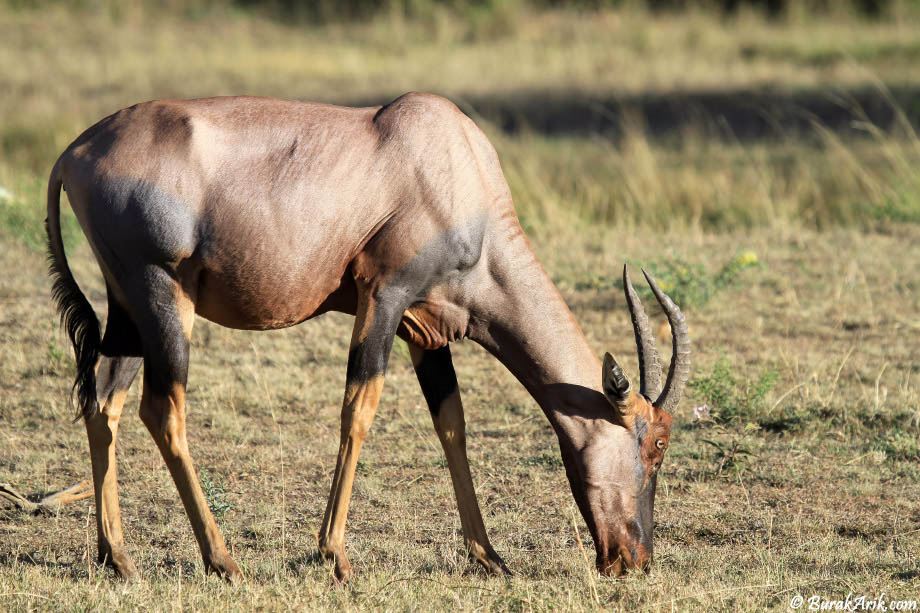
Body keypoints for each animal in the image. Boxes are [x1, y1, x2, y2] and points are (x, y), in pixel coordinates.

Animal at [46, 92, 688, 584]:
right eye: (655, 445)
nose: (633, 560)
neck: (452, 161)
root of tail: (74, 151)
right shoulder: (384, 295)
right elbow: (359, 409)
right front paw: (334, 555)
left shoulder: (427, 329)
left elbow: (451, 424)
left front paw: (488, 556)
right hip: (163, 295)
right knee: (163, 410)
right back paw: (223, 561)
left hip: (127, 309)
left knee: (104, 402)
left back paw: (118, 558)